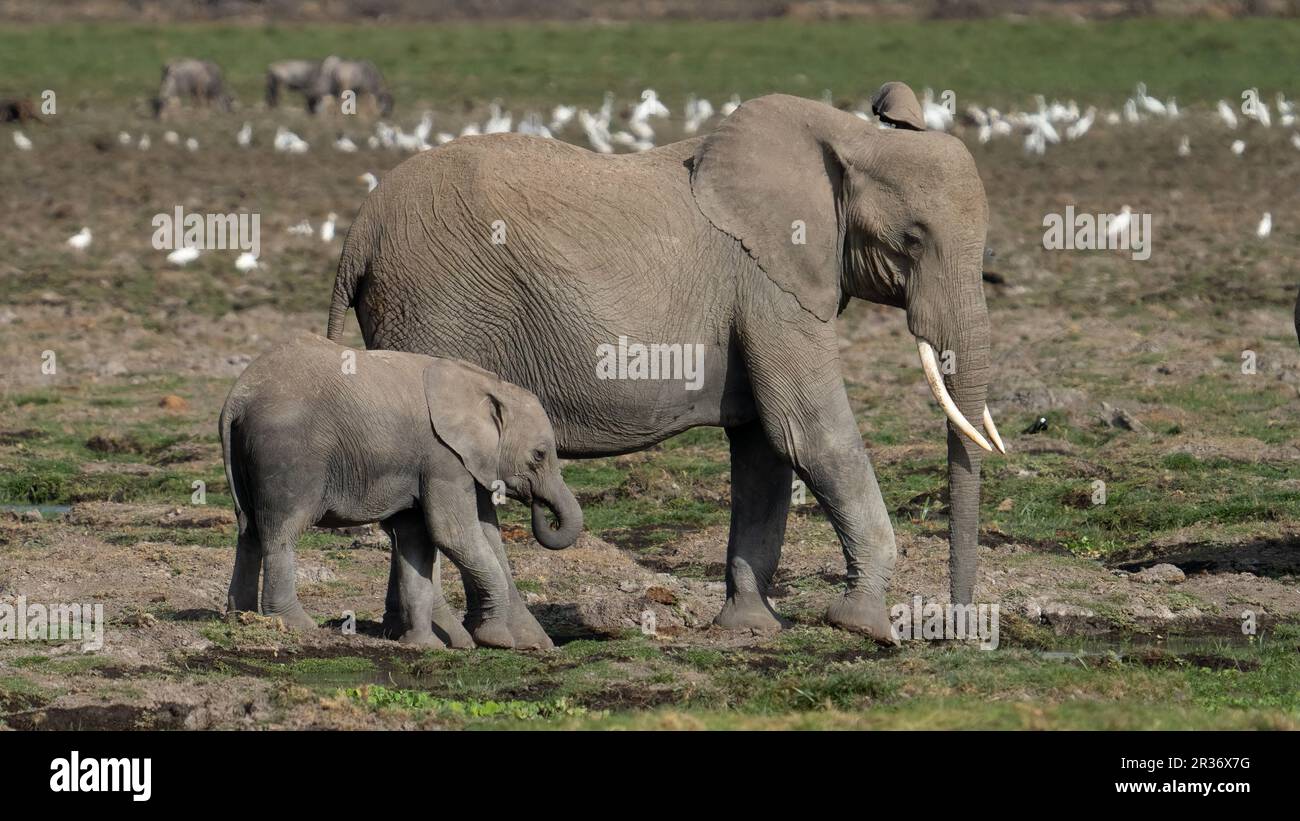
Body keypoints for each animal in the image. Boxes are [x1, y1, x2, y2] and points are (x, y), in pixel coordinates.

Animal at [220, 332, 582, 646]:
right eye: (539, 455)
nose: (540, 507)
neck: (486, 384)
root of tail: (238, 397)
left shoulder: (448, 461)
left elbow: (427, 535)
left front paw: (437, 645)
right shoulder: (443, 457)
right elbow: (452, 534)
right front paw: (495, 640)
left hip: (247, 456)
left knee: (248, 530)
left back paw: (241, 616)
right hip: (288, 456)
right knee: (282, 531)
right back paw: (297, 625)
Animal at [327, 89, 1003, 641]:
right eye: (912, 239)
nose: (957, 627)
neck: (853, 137)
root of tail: (357, 234)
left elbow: (763, 447)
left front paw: (750, 628)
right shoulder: (768, 283)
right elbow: (808, 431)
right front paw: (865, 627)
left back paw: (430, 635)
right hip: (439, 310)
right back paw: (488, 638)